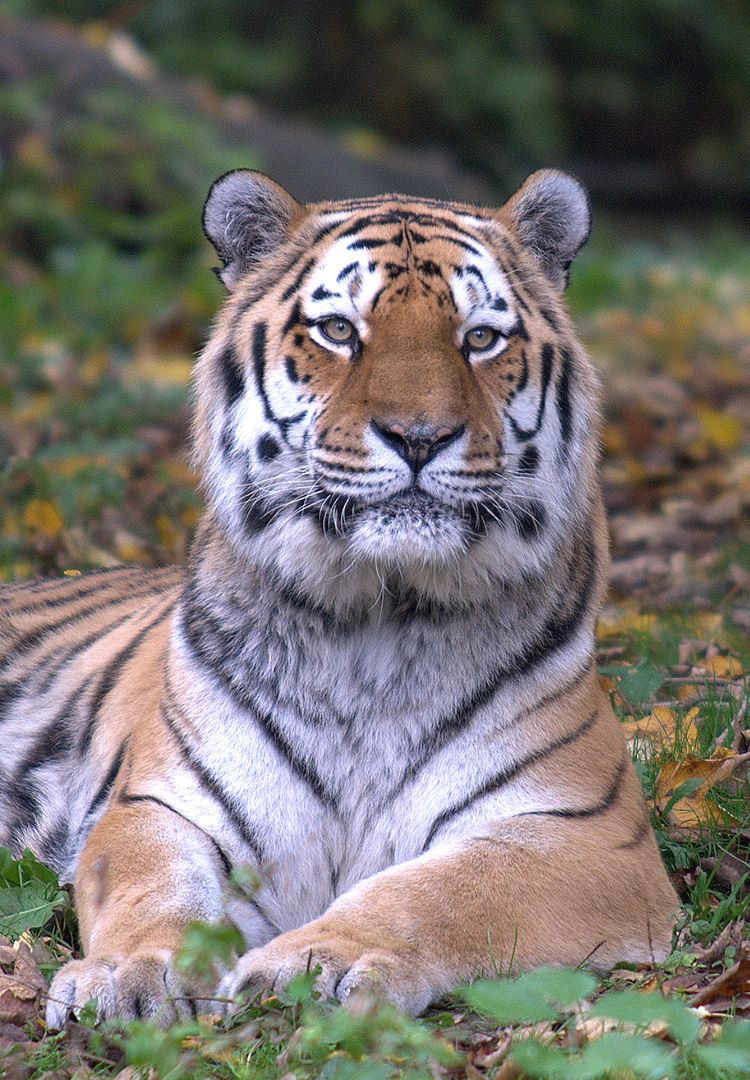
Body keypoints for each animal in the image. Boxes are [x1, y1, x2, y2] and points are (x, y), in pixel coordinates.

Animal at [0, 168, 682, 1028]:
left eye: (480, 339)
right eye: (337, 331)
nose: (419, 436)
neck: (377, 625)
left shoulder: (588, 837)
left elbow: (441, 893)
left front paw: (318, 962)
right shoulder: (164, 808)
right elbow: (156, 890)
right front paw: (127, 975)